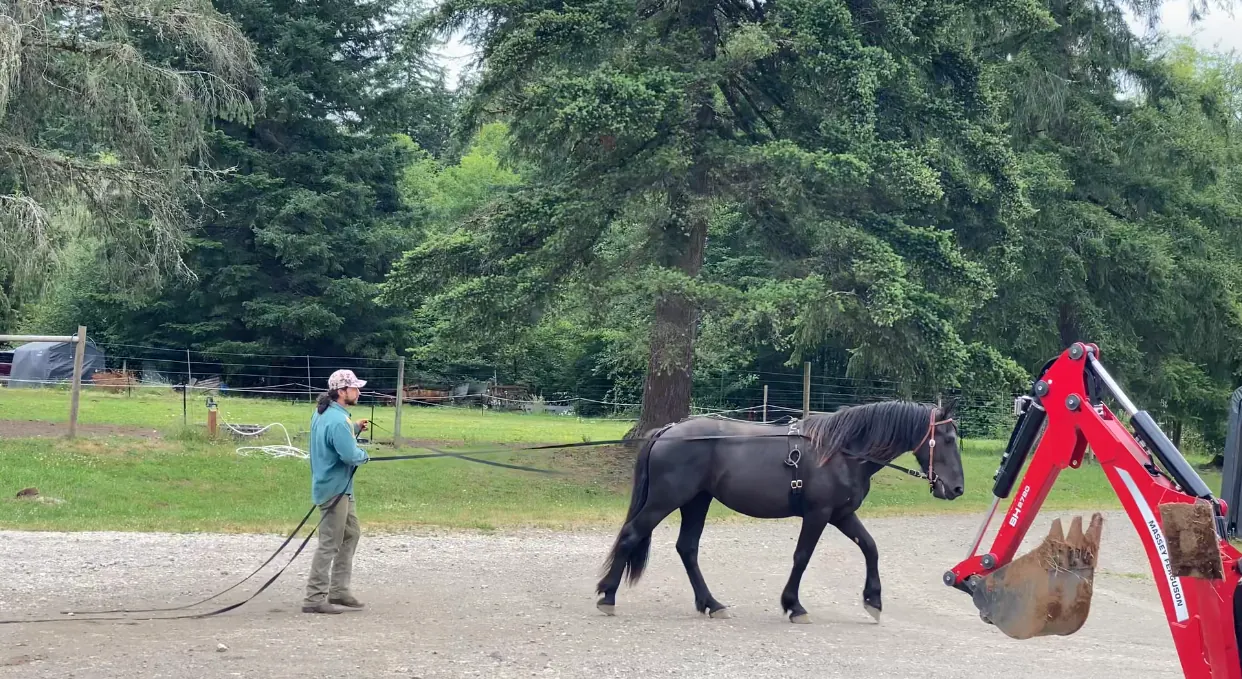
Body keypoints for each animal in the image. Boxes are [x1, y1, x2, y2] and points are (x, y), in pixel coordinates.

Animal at [594, 399, 964, 623]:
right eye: (947, 438)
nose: (957, 489)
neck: (841, 453)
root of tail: (668, 431)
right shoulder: (818, 514)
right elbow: (802, 557)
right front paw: (793, 605)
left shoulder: (841, 515)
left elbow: (870, 548)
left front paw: (873, 601)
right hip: (666, 500)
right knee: (631, 535)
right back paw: (607, 596)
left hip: (697, 501)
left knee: (687, 548)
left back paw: (711, 603)